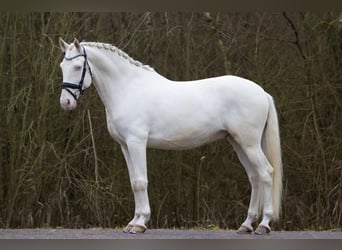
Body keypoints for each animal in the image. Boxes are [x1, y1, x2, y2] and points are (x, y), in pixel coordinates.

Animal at [59, 37, 284, 234]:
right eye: (62, 66)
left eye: (78, 67)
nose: (65, 103)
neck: (128, 89)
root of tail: (262, 92)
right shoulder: (125, 146)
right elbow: (133, 182)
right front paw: (133, 222)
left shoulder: (136, 142)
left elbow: (141, 181)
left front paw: (140, 224)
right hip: (238, 143)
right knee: (254, 177)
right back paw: (246, 225)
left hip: (249, 144)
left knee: (266, 173)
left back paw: (264, 225)